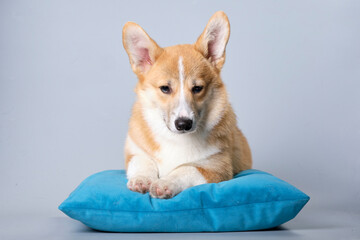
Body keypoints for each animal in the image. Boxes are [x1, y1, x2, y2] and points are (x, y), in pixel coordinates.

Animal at [122, 10, 252, 199]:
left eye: (197, 88)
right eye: (165, 88)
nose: (184, 124)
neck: (177, 140)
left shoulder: (217, 167)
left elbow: (185, 169)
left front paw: (165, 183)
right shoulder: (135, 151)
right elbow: (141, 162)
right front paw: (141, 180)